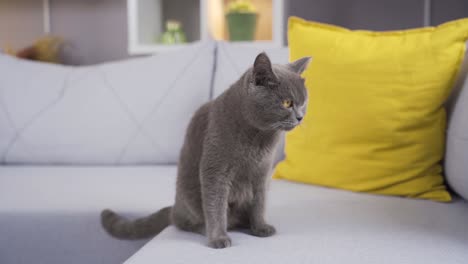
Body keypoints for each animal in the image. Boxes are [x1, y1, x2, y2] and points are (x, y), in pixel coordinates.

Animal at [100, 52, 308, 249]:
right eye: (287, 103)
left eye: (304, 102)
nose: (300, 117)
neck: (258, 138)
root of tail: (175, 206)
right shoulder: (215, 170)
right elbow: (215, 206)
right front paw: (218, 238)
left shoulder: (262, 171)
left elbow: (259, 201)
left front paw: (261, 227)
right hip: (188, 196)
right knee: (182, 221)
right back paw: (205, 228)